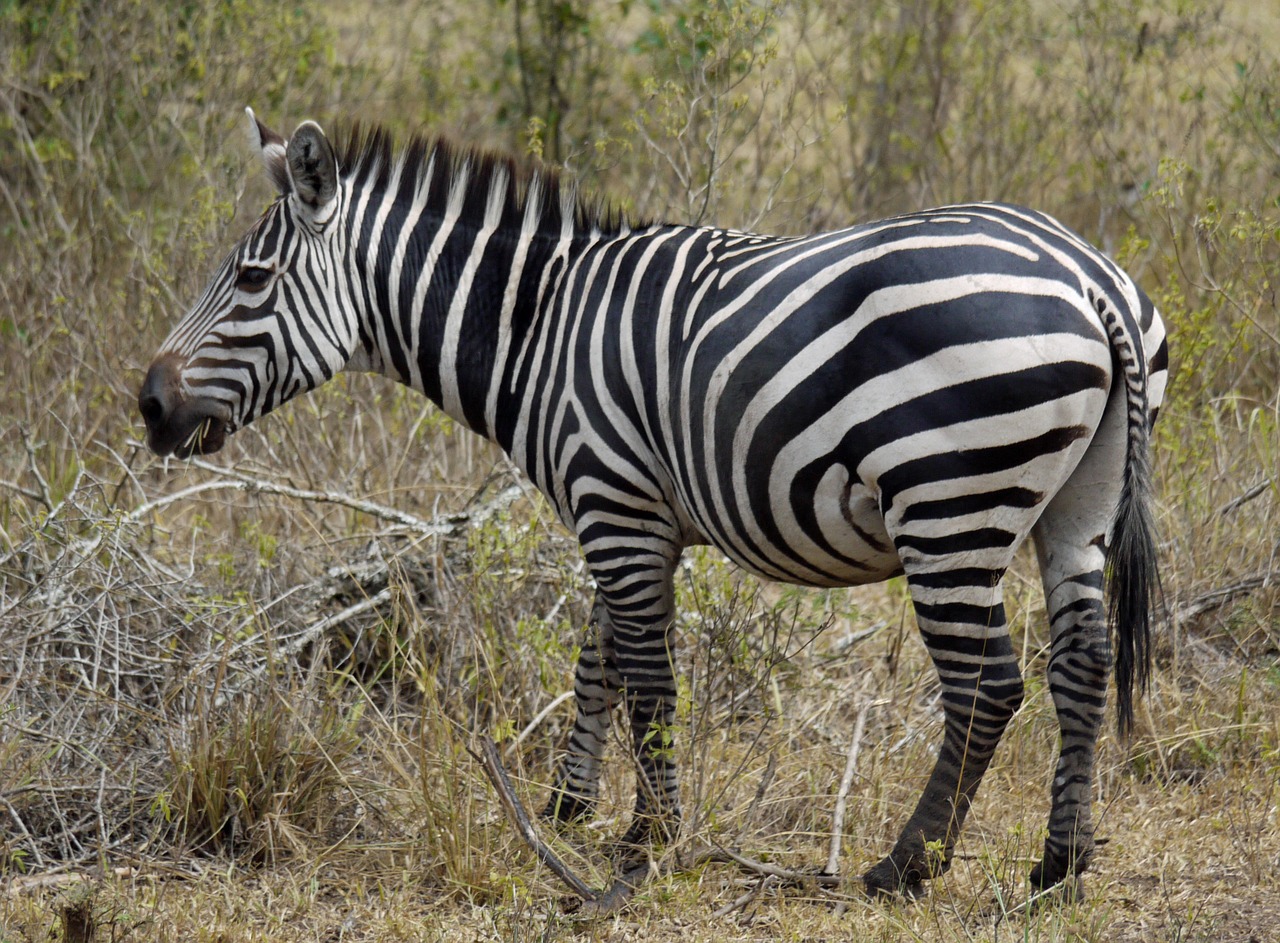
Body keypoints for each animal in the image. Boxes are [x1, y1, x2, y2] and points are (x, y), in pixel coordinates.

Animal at [142, 111, 1172, 895]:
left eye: (251, 279)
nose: (149, 406)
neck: (538, 327)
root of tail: (1092, 278)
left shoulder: (615, 504)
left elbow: (646, 679)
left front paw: (651, 842)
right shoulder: (629, 515)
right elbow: (600, 659)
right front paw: (569, 808)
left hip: (948, 499)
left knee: (987, 683)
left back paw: (907, 864)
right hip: (1077, 504)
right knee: (1080, 664)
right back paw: (1061, 863)